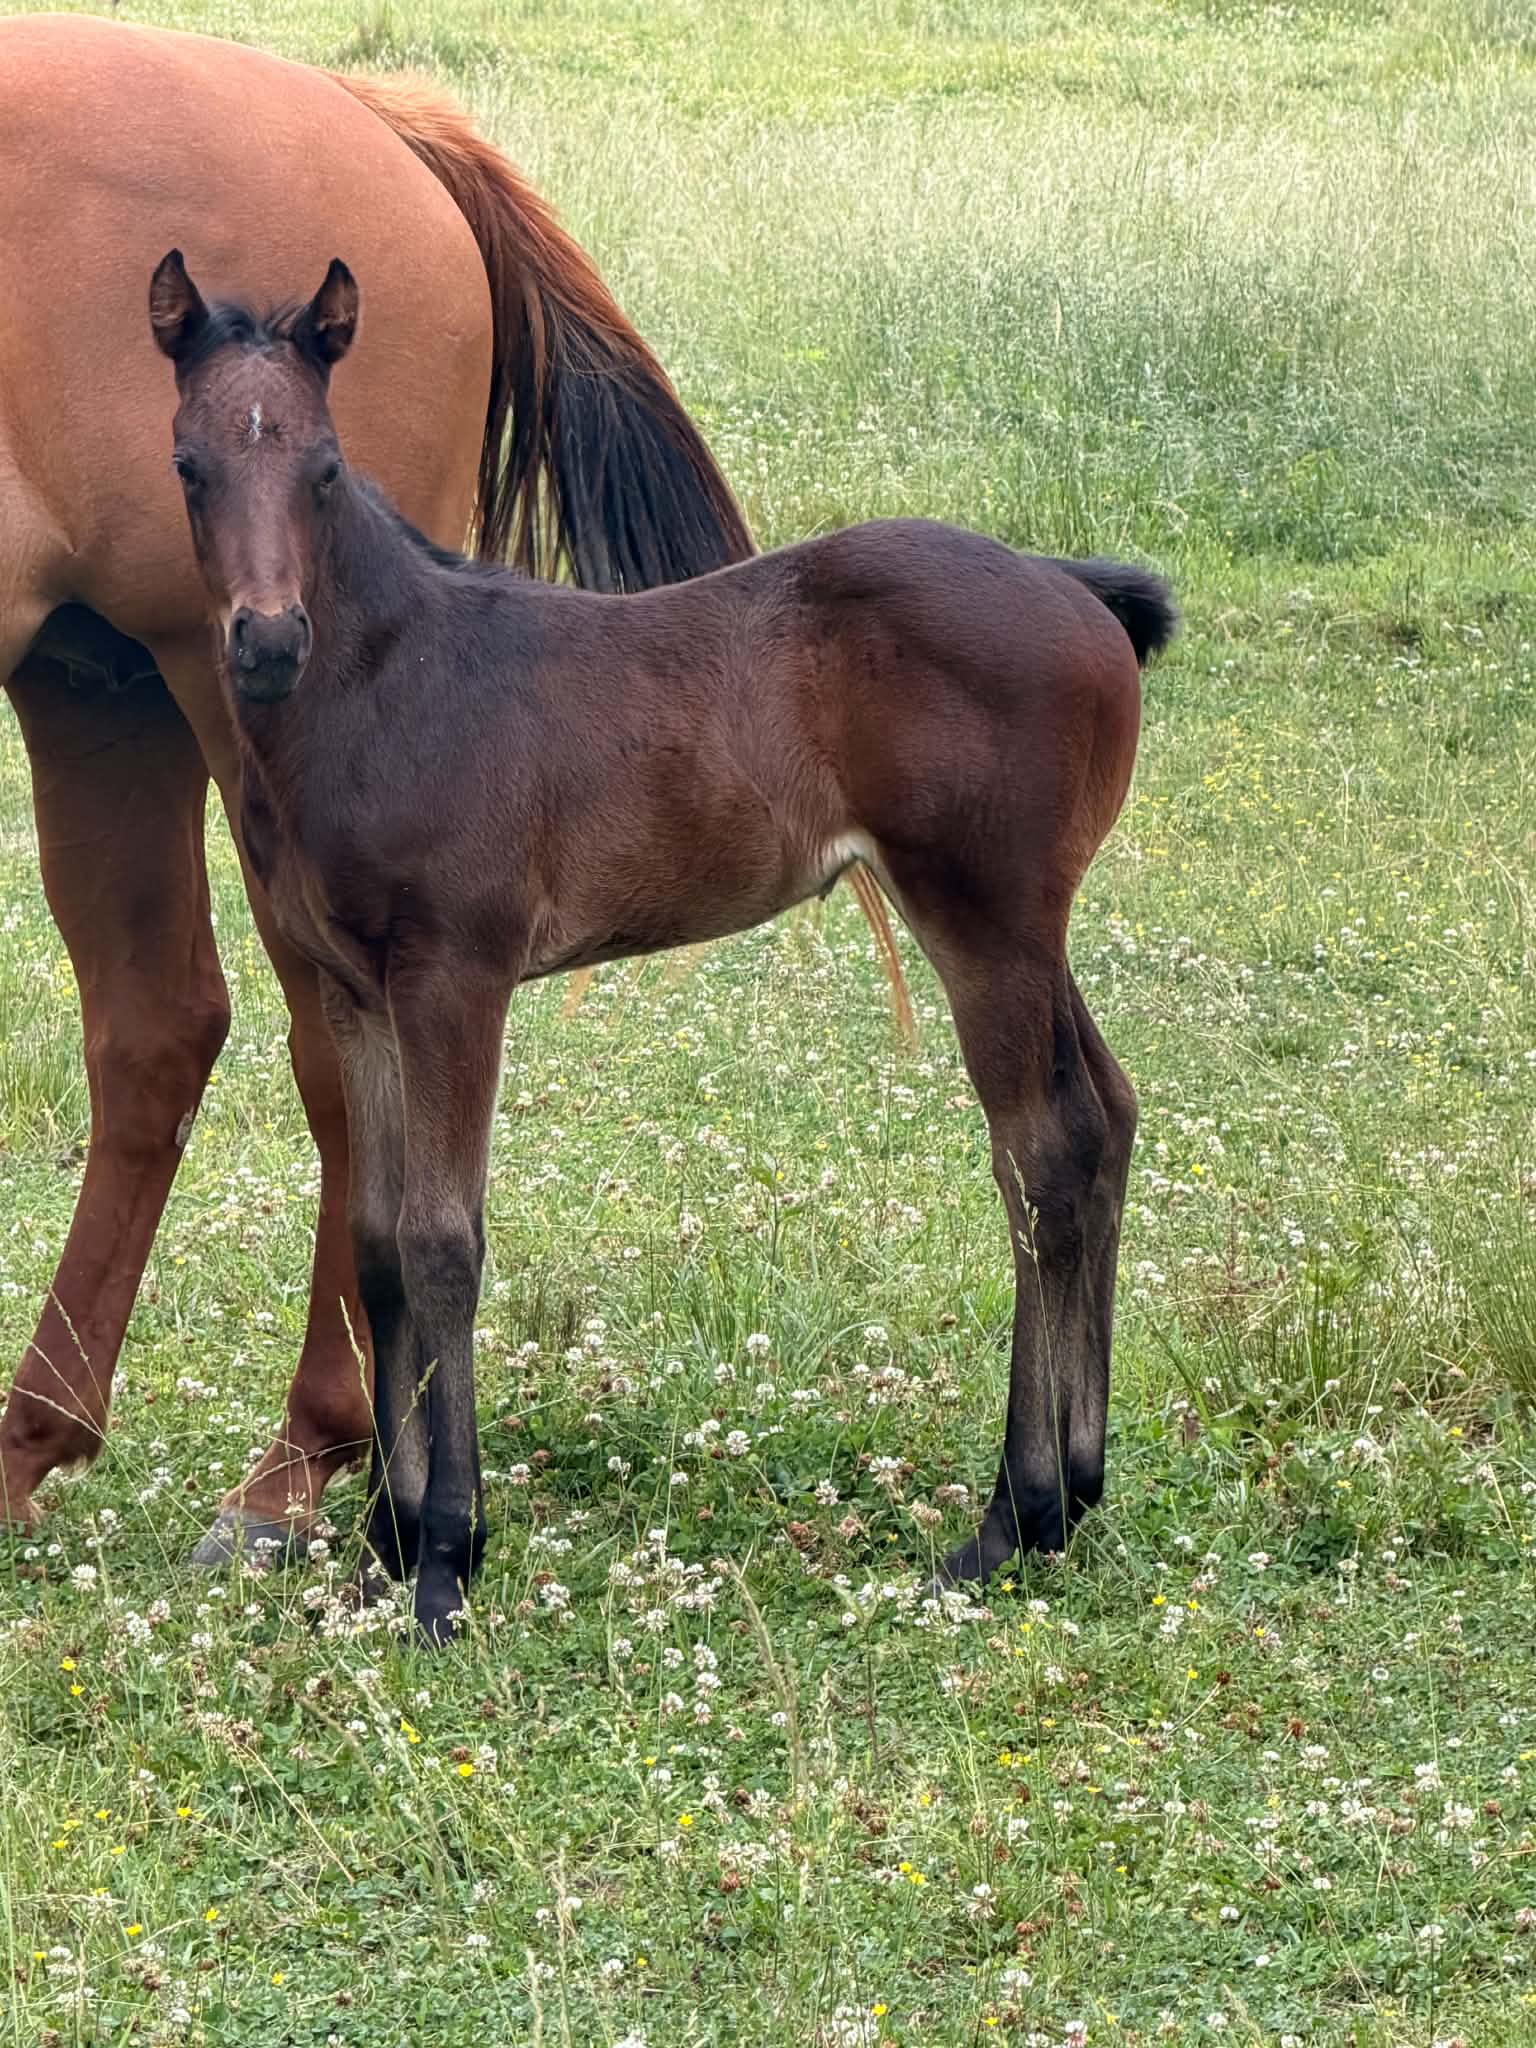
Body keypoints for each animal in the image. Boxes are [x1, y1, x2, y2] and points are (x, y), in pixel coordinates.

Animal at [0, 14, 914, 1559]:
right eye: (194, 460)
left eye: (313, 467)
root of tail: (381, 121)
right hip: (98, 682)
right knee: (166, 1028)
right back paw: (55, 1442)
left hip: (186, 692)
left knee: (303, 1055)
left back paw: (301, 1465)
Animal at [148, 251, 1173, 1643]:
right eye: (190, 463)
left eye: (320, 463)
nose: (264, 639)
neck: (385, 681)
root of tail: (1076, 588)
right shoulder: (352, 991)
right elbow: (377, 1249)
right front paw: (381, 1544)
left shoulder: (456, 975)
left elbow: (444, 1241)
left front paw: (446, 1558)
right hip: (1026, 924)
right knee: (1105, 1117)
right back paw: (1077, 1489)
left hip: (986, 921)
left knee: (1044, 1156)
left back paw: (1012, 1517)